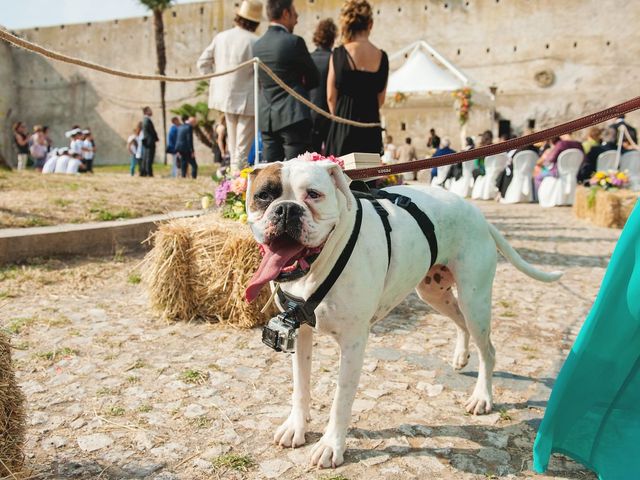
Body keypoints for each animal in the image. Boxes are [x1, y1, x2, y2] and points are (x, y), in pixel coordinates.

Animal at [245, 158, 560, 468]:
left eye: (313, 194)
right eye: (264, 195)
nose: (287, 209)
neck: (323, 261)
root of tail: (477, 213)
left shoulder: (353, 344)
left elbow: (341, 399)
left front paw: (331, 445)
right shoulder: (301, 333)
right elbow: (300, 385)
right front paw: (296, 427)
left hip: (475, 301)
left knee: (489, 350)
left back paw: (482, 396)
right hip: (435, 294)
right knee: (461, 323)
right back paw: (461, 356)